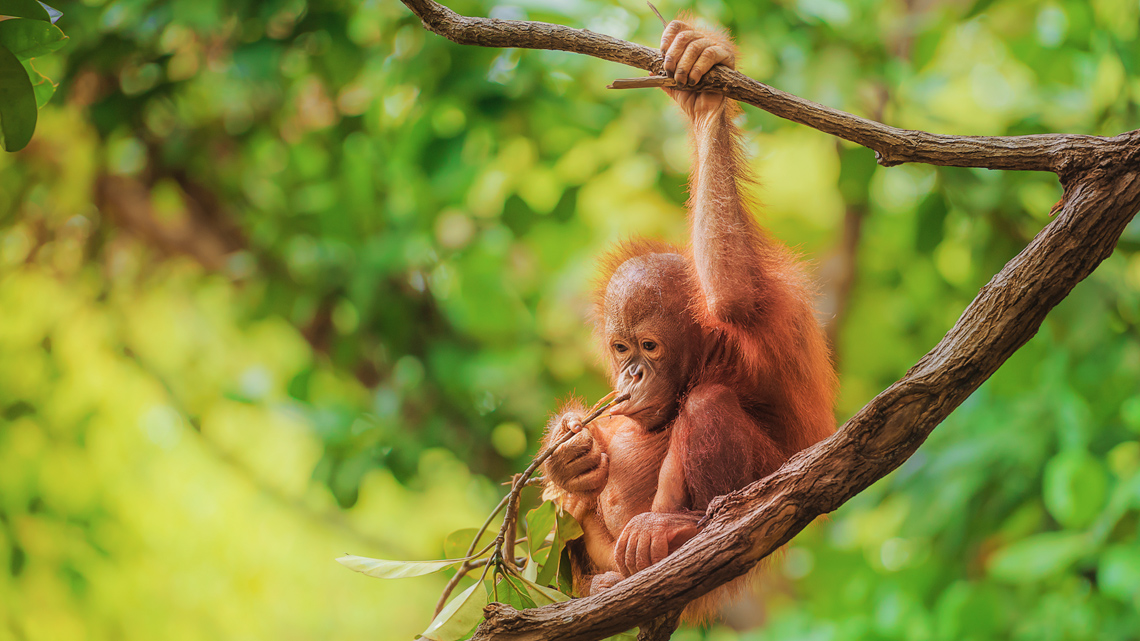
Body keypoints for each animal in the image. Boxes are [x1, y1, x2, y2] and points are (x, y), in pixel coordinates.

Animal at [540, 17, 837, 621]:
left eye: (650, 347)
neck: (710, 353)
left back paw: (684, 531)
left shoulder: (769, 312)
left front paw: (706, 91)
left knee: (707, 404)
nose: (632, 375)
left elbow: (733, 291)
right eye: (622, 348)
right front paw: (569, 454)